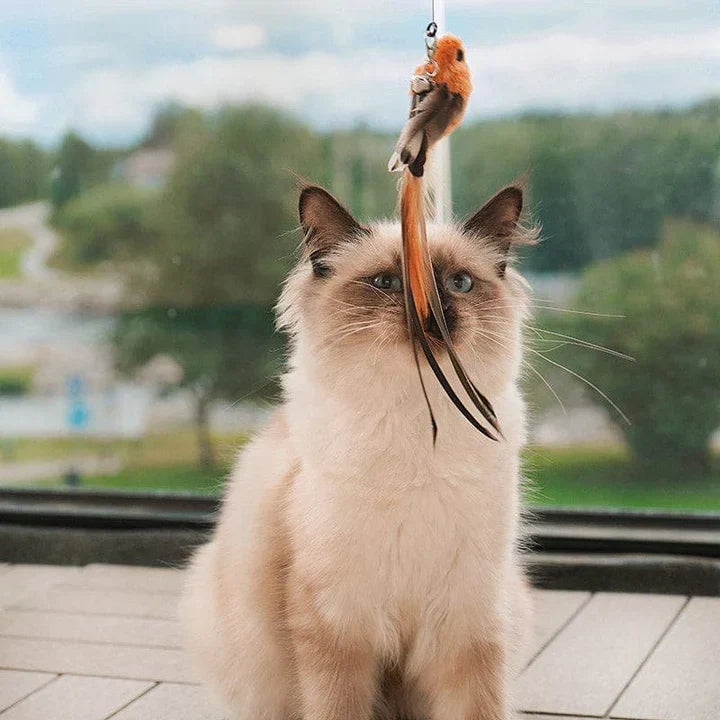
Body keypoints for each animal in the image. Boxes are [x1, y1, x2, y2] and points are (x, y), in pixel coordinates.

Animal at [183, 181, 536, 720]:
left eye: (459, 283)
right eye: (387, 282)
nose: (432, 313)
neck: (421, 428)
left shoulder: (468, 623)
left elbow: (479, 708)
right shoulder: (336, 624)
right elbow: (338, 708)